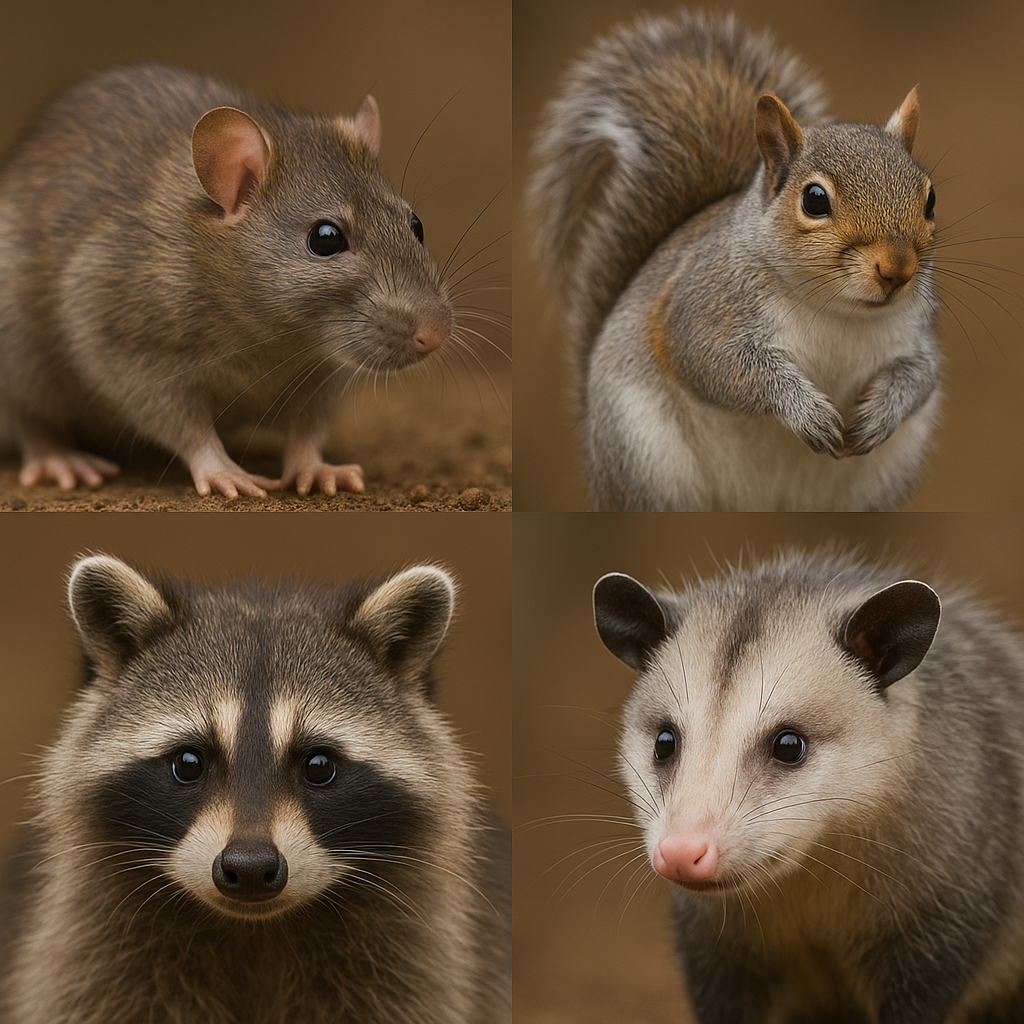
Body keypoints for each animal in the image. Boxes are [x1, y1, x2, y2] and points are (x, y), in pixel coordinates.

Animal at [0, 64, 453, 498]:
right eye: (326, 238)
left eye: (416, 224)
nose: (435, 335)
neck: (271, 338)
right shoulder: (123, 334)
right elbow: (179, 420)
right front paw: (222, 470)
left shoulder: (323, 369)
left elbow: (308, 425)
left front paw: (316, 468)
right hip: (18, 352)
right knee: (31, 420)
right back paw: (59, 460)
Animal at [0, 555, 511, 1024]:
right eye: (188, 763)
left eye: (319, 766)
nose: (248, 868)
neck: (254, 929)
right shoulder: (92, 955)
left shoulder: (414, 962)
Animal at [528, 9, 941, 511]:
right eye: (815, 200)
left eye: (930, 199)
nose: (897, 270)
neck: (839, 311)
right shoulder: (702, 304)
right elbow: (715, 361)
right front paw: (805, 411)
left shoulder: (915, 332)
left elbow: (921, 374)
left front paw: (882, 412)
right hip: (645, 459)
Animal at [593, 550, 1024, 1024]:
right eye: (664, 742)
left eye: (789, 745)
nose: (680, 852)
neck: (813, 875)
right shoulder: (715, 947)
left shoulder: (944, 922)